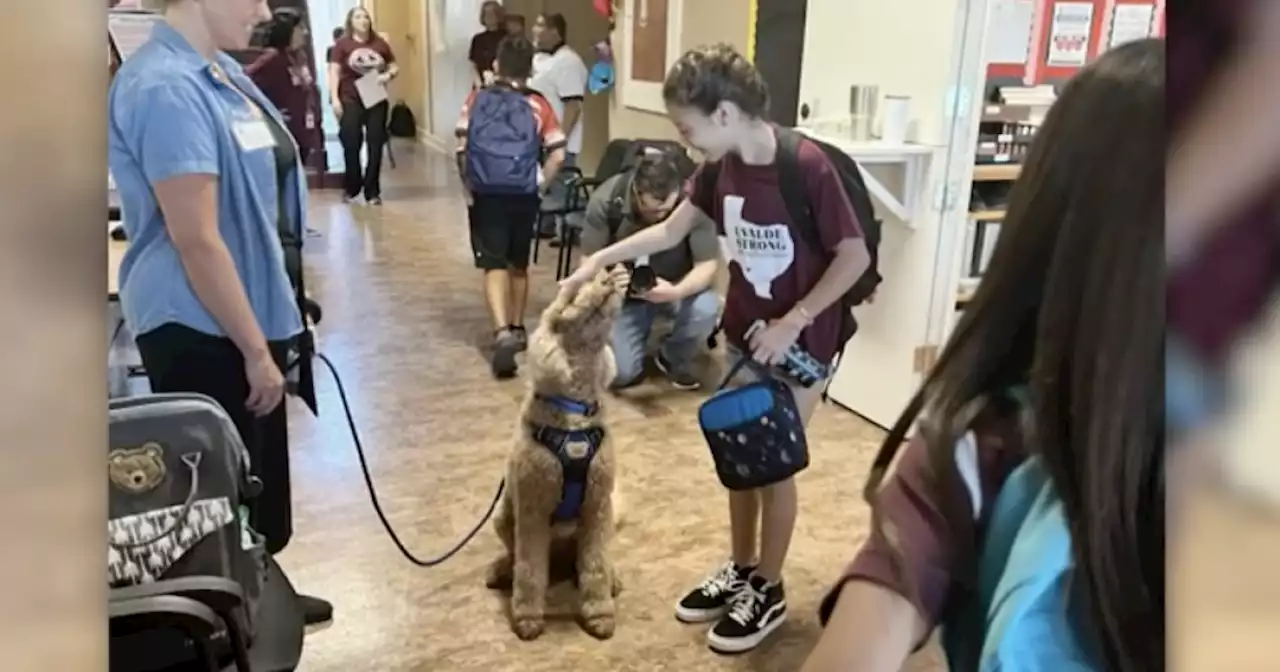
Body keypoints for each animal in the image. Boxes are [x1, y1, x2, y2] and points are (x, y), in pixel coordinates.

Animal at [483, 266, 629, 640]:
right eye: (574, 292)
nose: (611, 269)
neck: (574, 410)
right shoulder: (532, 507)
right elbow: (530, 569)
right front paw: (527, 619)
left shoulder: (597, 505)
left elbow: (594, 565)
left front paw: (600, 615)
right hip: (503, 518)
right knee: (515, 554)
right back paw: (501, 570)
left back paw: (613, 578)